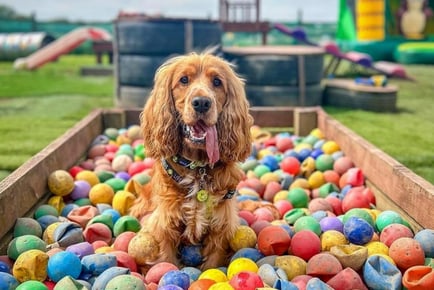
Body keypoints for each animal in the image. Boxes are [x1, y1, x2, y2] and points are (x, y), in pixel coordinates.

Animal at [129, 51, 251, 270]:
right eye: (184, 80)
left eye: (217, 82)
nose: (201, 102)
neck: (198, 167)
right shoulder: (164, 225)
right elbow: (166, 260)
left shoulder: (220, 227)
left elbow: (212, 263)